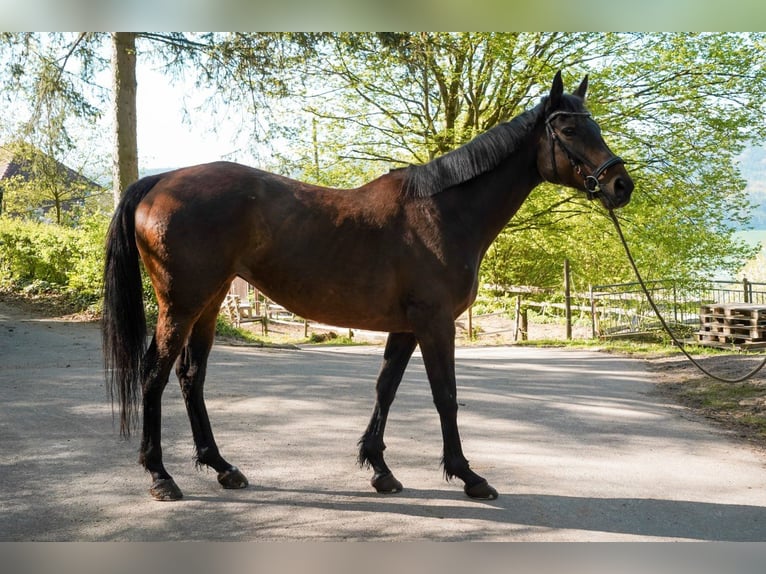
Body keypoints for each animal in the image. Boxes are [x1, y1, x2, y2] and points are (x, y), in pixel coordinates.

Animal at [103, 73, 636, 504]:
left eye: (595, 127)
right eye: (569, 131)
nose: (620, 186)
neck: (443, 213)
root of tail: (160, 182)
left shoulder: (406, 327)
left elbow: (386, 388)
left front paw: (379, 469)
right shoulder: (435, 323)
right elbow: (446, 396)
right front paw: (468, 476)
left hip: (210, 304)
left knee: (191, 377)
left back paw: (222, 467)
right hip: (182, 304)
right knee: (154, 375)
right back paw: (160, 476)